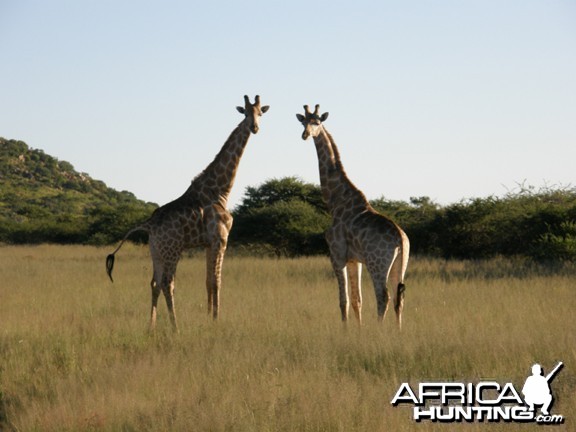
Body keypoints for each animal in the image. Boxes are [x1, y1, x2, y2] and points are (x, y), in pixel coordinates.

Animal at [107, 94, 268, 330]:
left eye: (260, 113)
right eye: (246, 113)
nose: (254, 127)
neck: (221, 190)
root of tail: (148, 223)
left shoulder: (209, 243)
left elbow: (208, 281)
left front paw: (209, 317)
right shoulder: (221, 239)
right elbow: (217, 281)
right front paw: (216, 320)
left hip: (156, 251)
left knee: (154, 283)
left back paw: (151, 327)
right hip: (173, 250)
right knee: (167, 283)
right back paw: (176, 327)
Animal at [296, 104, 410, 328]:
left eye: (317, 122)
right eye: (303, 121)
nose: (305, 134)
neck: (335, 201)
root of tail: (401, 240)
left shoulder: (336, 255)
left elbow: (344, 301)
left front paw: (346, 331)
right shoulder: (353, 260)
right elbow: (358, 301)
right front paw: (358, 330)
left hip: (377, 264)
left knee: (383, 296)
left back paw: (379, 331)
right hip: (399, 264)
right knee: (398, 298)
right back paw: (399, 332)